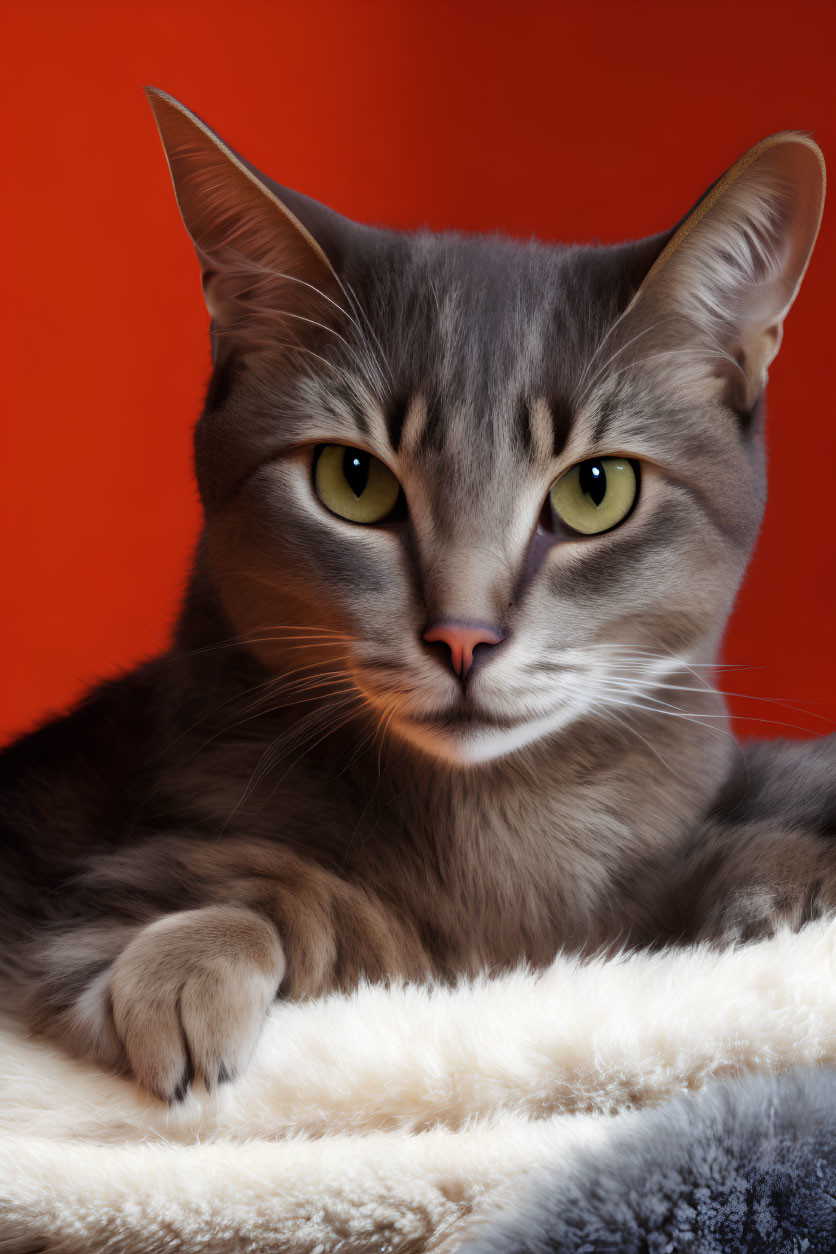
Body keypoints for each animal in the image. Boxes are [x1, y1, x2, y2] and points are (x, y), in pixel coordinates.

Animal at [0, 90, 832, 1108]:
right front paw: (189, 959)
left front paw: (780, 880)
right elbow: (292, 897)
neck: (490, 825)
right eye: (351, 479)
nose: (463, 638)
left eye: (596, 490)